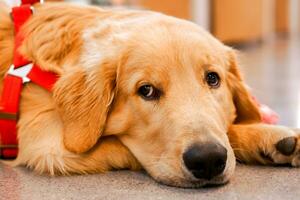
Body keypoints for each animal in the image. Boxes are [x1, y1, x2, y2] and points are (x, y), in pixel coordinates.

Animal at [0, 1, 298, 188]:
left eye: (213, 78)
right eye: (146, 90)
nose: (208, 159)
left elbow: (227, 130)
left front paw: (272, 136)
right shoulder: (47, 143)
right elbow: (126, 145)